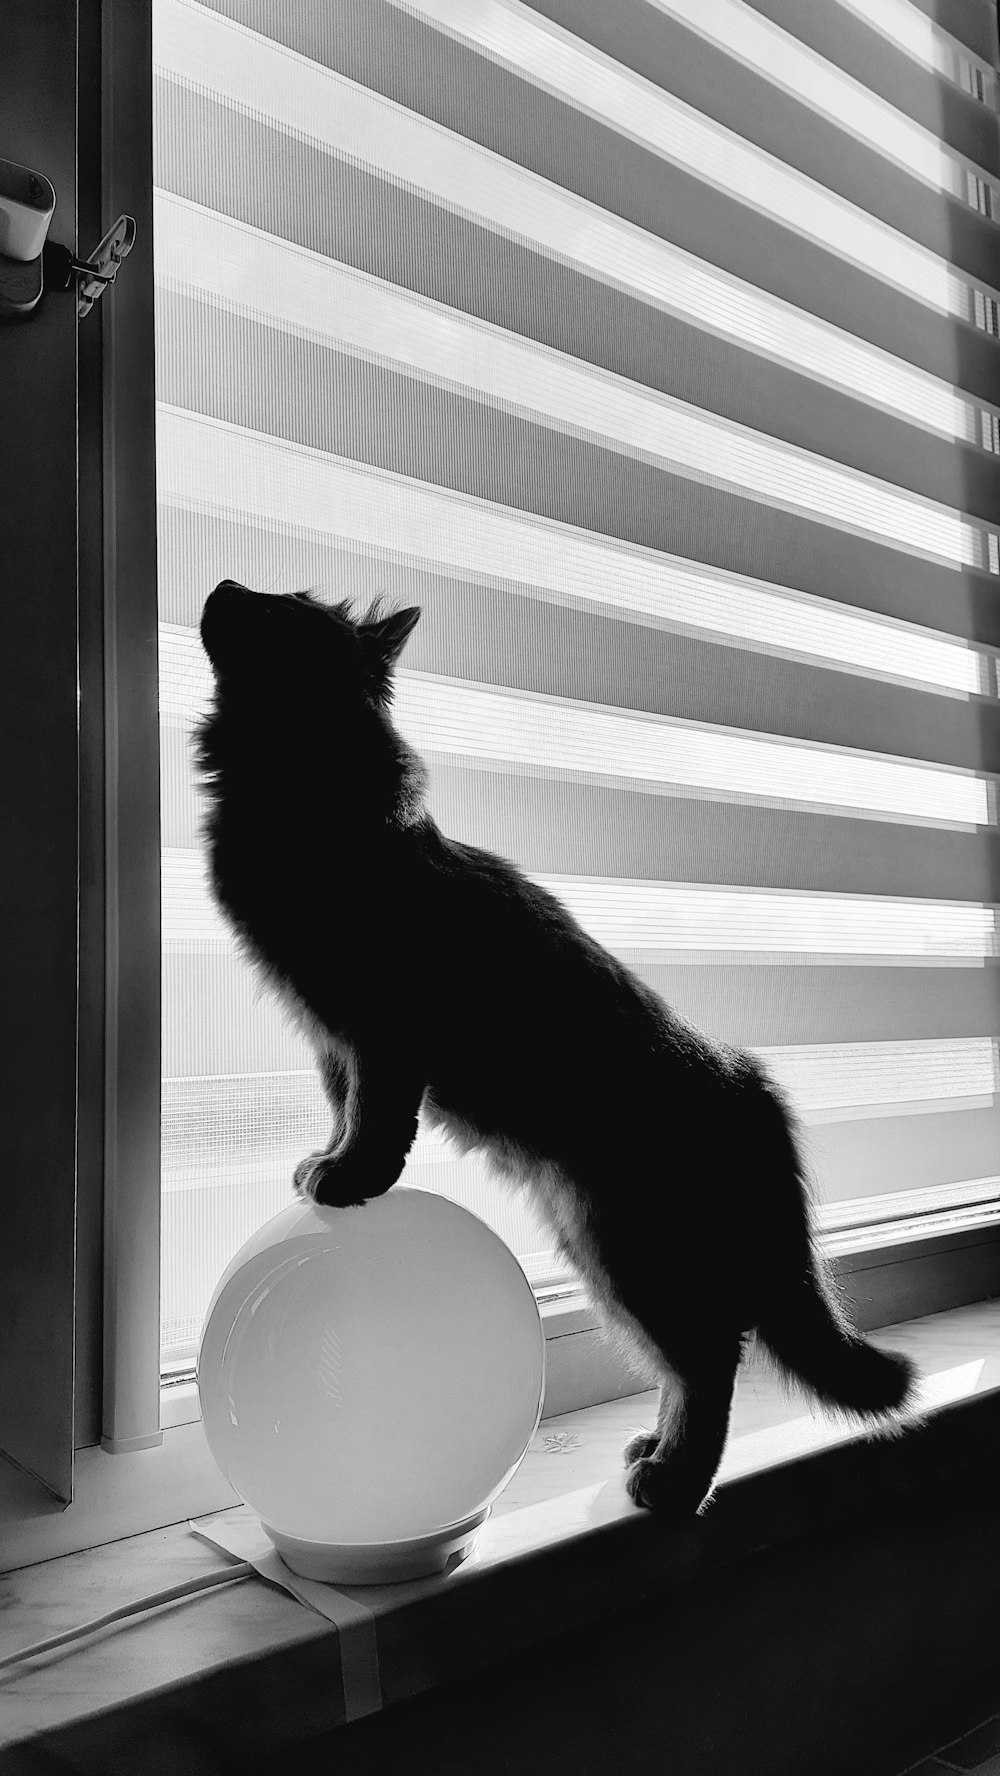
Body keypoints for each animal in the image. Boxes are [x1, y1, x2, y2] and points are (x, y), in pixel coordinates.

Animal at [193, 582, 916, 1513]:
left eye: (283, 610)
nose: (224, 588)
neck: (306, 792)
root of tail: (745, 1083)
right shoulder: (331, 1038)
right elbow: (343, 1110)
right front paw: (325, 1161)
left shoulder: (382, 1030)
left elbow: (377, 1120)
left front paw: (349, 1180)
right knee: (696, 1362)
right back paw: (657, 1449)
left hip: (627, 1249)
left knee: (710, 1361)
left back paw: (674, 1480)